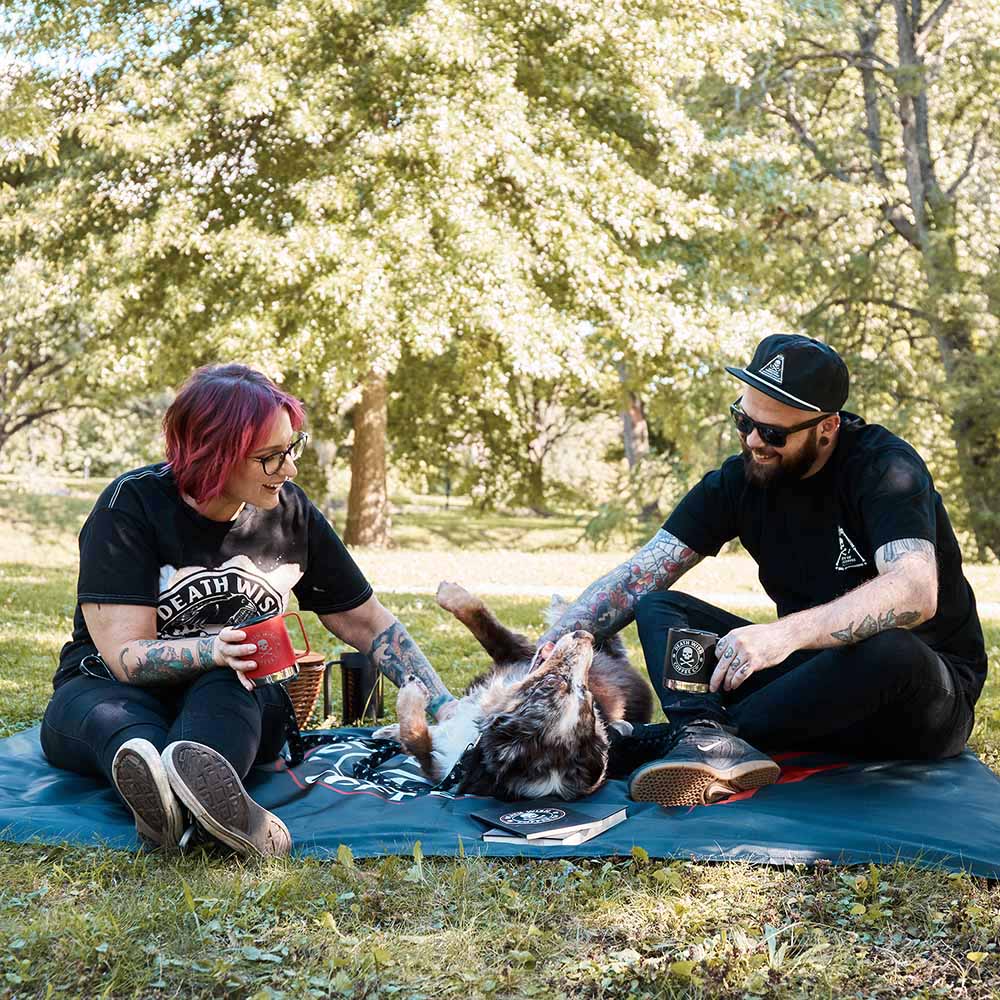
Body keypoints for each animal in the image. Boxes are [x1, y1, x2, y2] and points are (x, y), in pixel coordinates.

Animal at [372, 584, 652, 800]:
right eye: (587, 696)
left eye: (552, 683)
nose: (585, 636)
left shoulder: (440, 769)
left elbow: (414, 737)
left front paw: (412, 689)